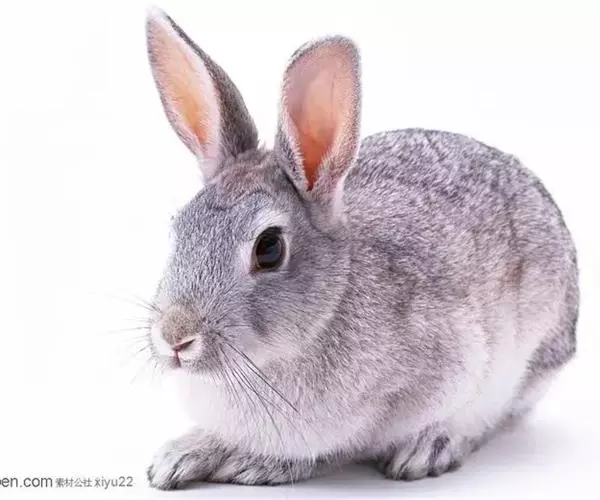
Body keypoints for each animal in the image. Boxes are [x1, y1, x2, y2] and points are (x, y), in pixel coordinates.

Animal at [143, 7, 579, 490]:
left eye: (269, 248)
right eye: (178, 227)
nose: (175, 337)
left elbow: (341, 448)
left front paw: (255, 464)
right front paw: (178, 457)